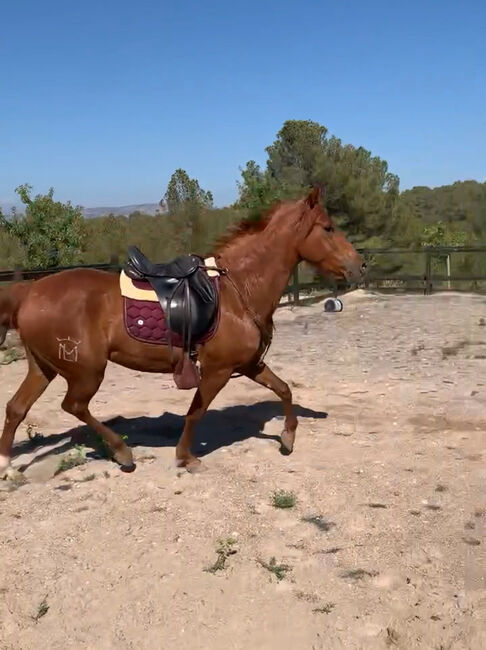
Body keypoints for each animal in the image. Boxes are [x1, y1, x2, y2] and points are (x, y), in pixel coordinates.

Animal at [0, 187, 364, 476]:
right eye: (328, 228)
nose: (360, 266)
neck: (237, 290)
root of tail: (30, 292)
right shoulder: (218, 370)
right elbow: (195, 412)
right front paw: (186, 458)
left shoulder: (249, 364)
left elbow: (284, 389)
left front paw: (288, 438)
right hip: (86, 371)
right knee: (74, 406)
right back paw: (123, 453)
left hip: (44, 367)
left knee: (17, 407)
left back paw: (6, 463)